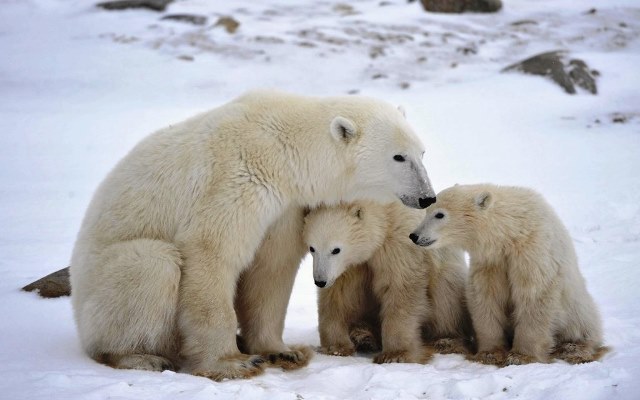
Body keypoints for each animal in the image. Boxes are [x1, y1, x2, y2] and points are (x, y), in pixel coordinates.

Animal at [71, 90, 440, 382]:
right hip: (100, 291)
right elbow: (212, 252)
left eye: (422, 153)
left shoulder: (285, 206)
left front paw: (282, 352)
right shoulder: (237, 179)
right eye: (398, 156)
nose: (427, 197)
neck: (285, 148)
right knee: (152, 264)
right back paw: (139, 356)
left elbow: (271, 268)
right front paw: (232, 363)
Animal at [300, 202, 470, 364]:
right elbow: (338, 296)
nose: (320, 281)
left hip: (447, 276)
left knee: (445, 296)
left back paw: (445, 341)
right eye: (312, 248)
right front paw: (336, 347)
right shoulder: (348, 268)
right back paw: (363, 336)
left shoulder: (399, 243)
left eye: (336, 249)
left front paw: (395, 355)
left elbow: (400, 289)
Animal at [410, 184, 604, 366]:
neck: (512, 232)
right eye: (426, 212)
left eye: (439, 215)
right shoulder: (490, 261)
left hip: (576, 305)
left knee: (583, 324)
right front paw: (489, 353)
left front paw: (521, 356)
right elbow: (486, 297)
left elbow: (534, 294)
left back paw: (574, 349)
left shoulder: (532, 251)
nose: (414, 235)